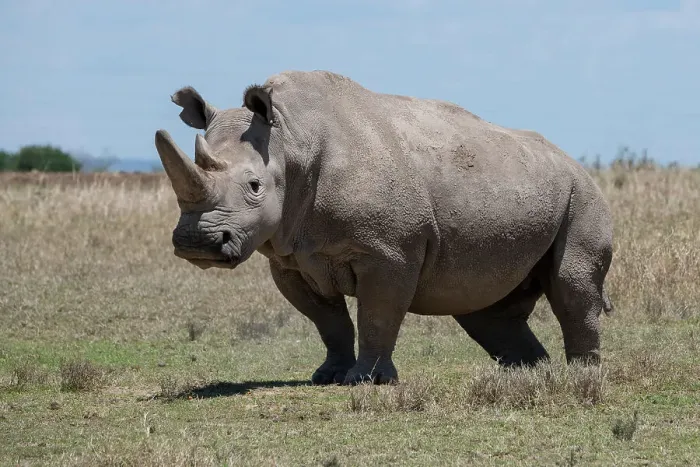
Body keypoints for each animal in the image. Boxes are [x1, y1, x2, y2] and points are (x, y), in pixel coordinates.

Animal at [154, 70, 614, 385]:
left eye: (254, 187)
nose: (197, 242)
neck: (291, 140)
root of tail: (573, 160)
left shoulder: (389, 252)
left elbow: (378, 313)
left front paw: (367, 381)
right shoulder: (290, 256)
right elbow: (329, 322)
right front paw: (328, 376)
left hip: (583, 194)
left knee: (571, 286)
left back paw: (582, 378)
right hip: (519, 185)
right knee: (484, 307)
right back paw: (527, 375)